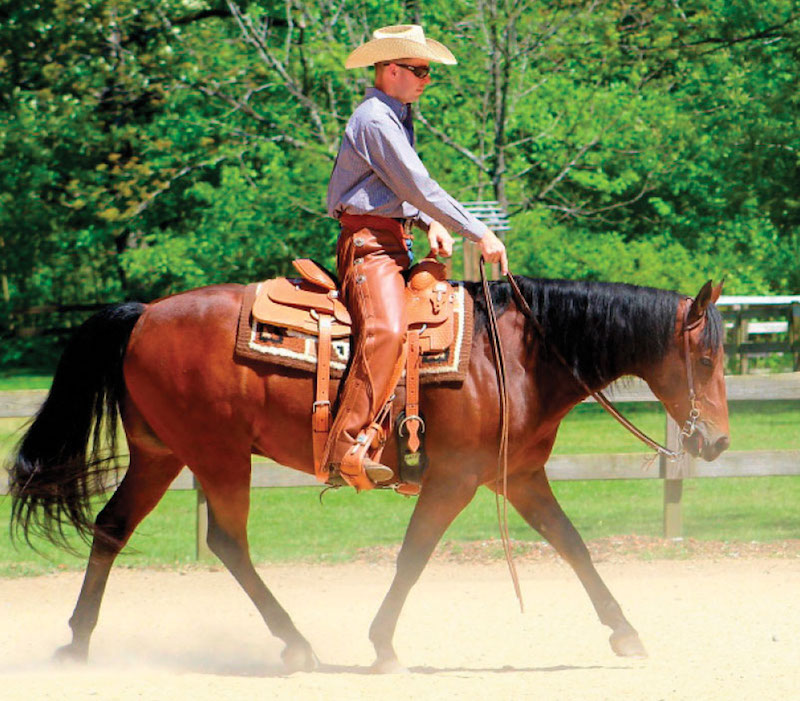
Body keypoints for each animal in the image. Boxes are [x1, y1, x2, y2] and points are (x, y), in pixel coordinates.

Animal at [8, 275, 729, 673]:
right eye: (704, 356)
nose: (719, 441)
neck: (515, 357)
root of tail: (146, 314)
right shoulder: (454, 479)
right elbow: (414, 554)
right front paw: (383, 644)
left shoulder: (519, 476)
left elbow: (573, 544)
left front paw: (625, 632)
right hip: (218, 456)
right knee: (226, 541)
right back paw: (296, 643)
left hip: (162, 454)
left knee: (112, 526)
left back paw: (78, 641)